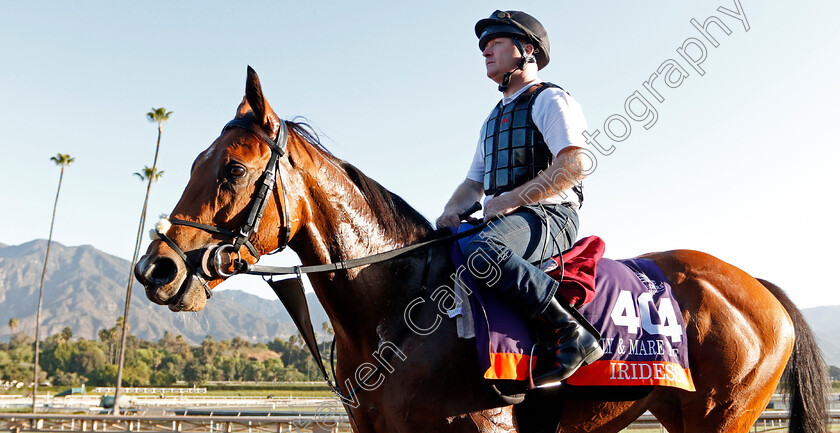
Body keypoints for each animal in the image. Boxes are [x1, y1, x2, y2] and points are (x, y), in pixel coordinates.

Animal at [135, 66, 832, 430]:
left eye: (231, 168)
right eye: (194, 162)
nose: (156, 268)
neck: (400, 307)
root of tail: (760, 287)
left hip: (724, 414)